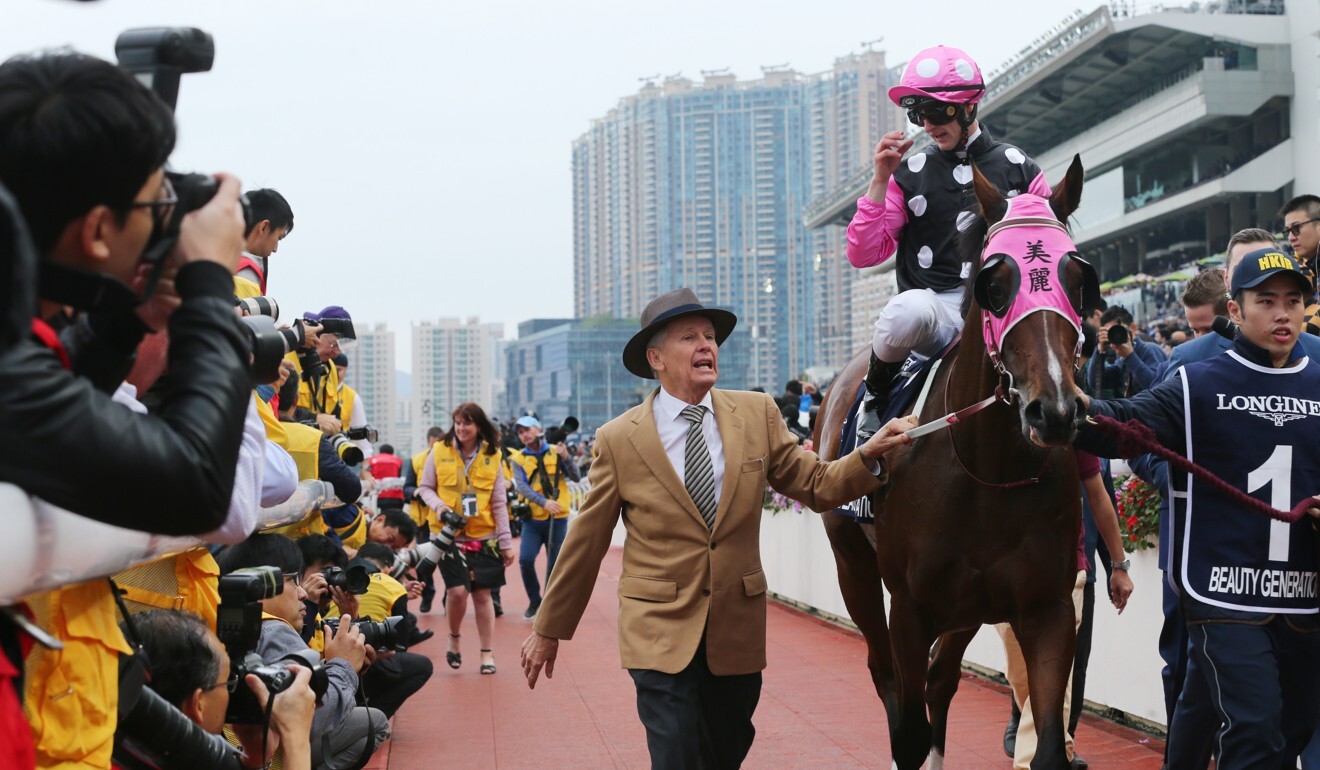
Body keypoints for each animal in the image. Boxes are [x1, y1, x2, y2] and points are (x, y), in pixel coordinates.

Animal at [813, 158, 1092, 770]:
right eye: (994, 283)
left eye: (1078, 278)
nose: (1054, 411)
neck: (988, 471)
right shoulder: (910, 609)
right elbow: (909, 732)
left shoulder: (1046, 607)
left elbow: (1048, 748)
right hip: (853, 565)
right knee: (885, 676)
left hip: (968, 606)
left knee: (942, 680)